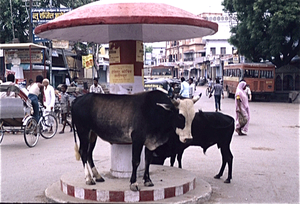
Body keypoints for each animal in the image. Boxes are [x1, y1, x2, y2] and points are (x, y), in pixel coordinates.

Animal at [71, 91, 199, 191]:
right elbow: (136, 161)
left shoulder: (150, 142)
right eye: (180, 116)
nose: (188, 139)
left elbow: (147, 160)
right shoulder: (137, 139)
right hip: (83, 132)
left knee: (89, 153)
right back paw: (89, 178)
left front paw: (147, 180)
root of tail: (78, 99)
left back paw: (97, 176)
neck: (155, 110)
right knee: (83, 152)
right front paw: (133, 183)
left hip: (93, 134)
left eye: (193, 117)